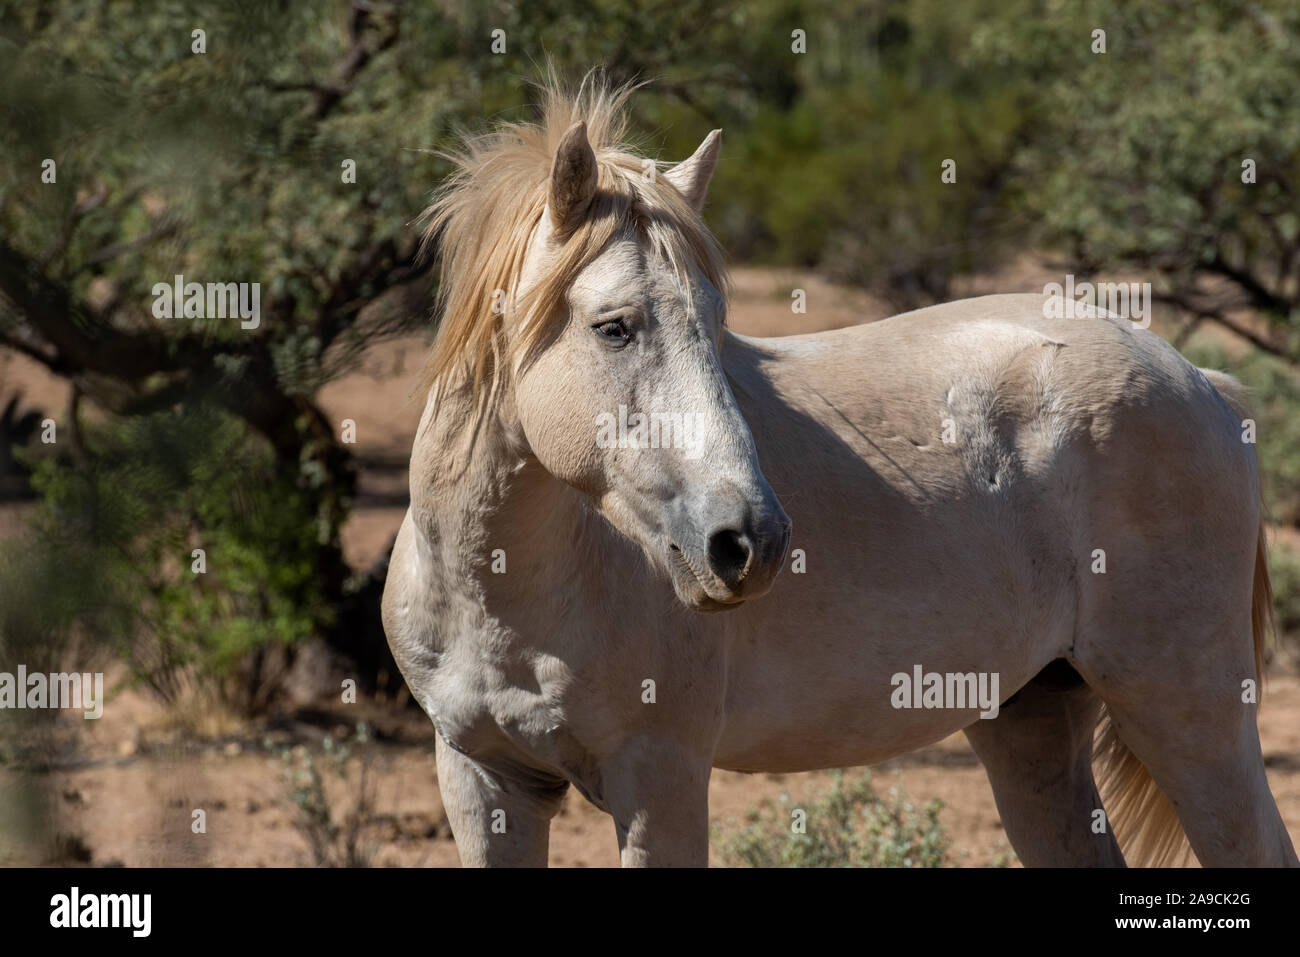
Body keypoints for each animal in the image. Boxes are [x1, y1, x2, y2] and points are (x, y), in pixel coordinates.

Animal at [379, 76, 1294, 868]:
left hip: (1191, 714)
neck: (506, 588)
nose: (749, 541)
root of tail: (1198, 378)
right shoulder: (484, 780)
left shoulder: (659, 783)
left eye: (717, 320)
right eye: (614, 327)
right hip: (1032, 722)